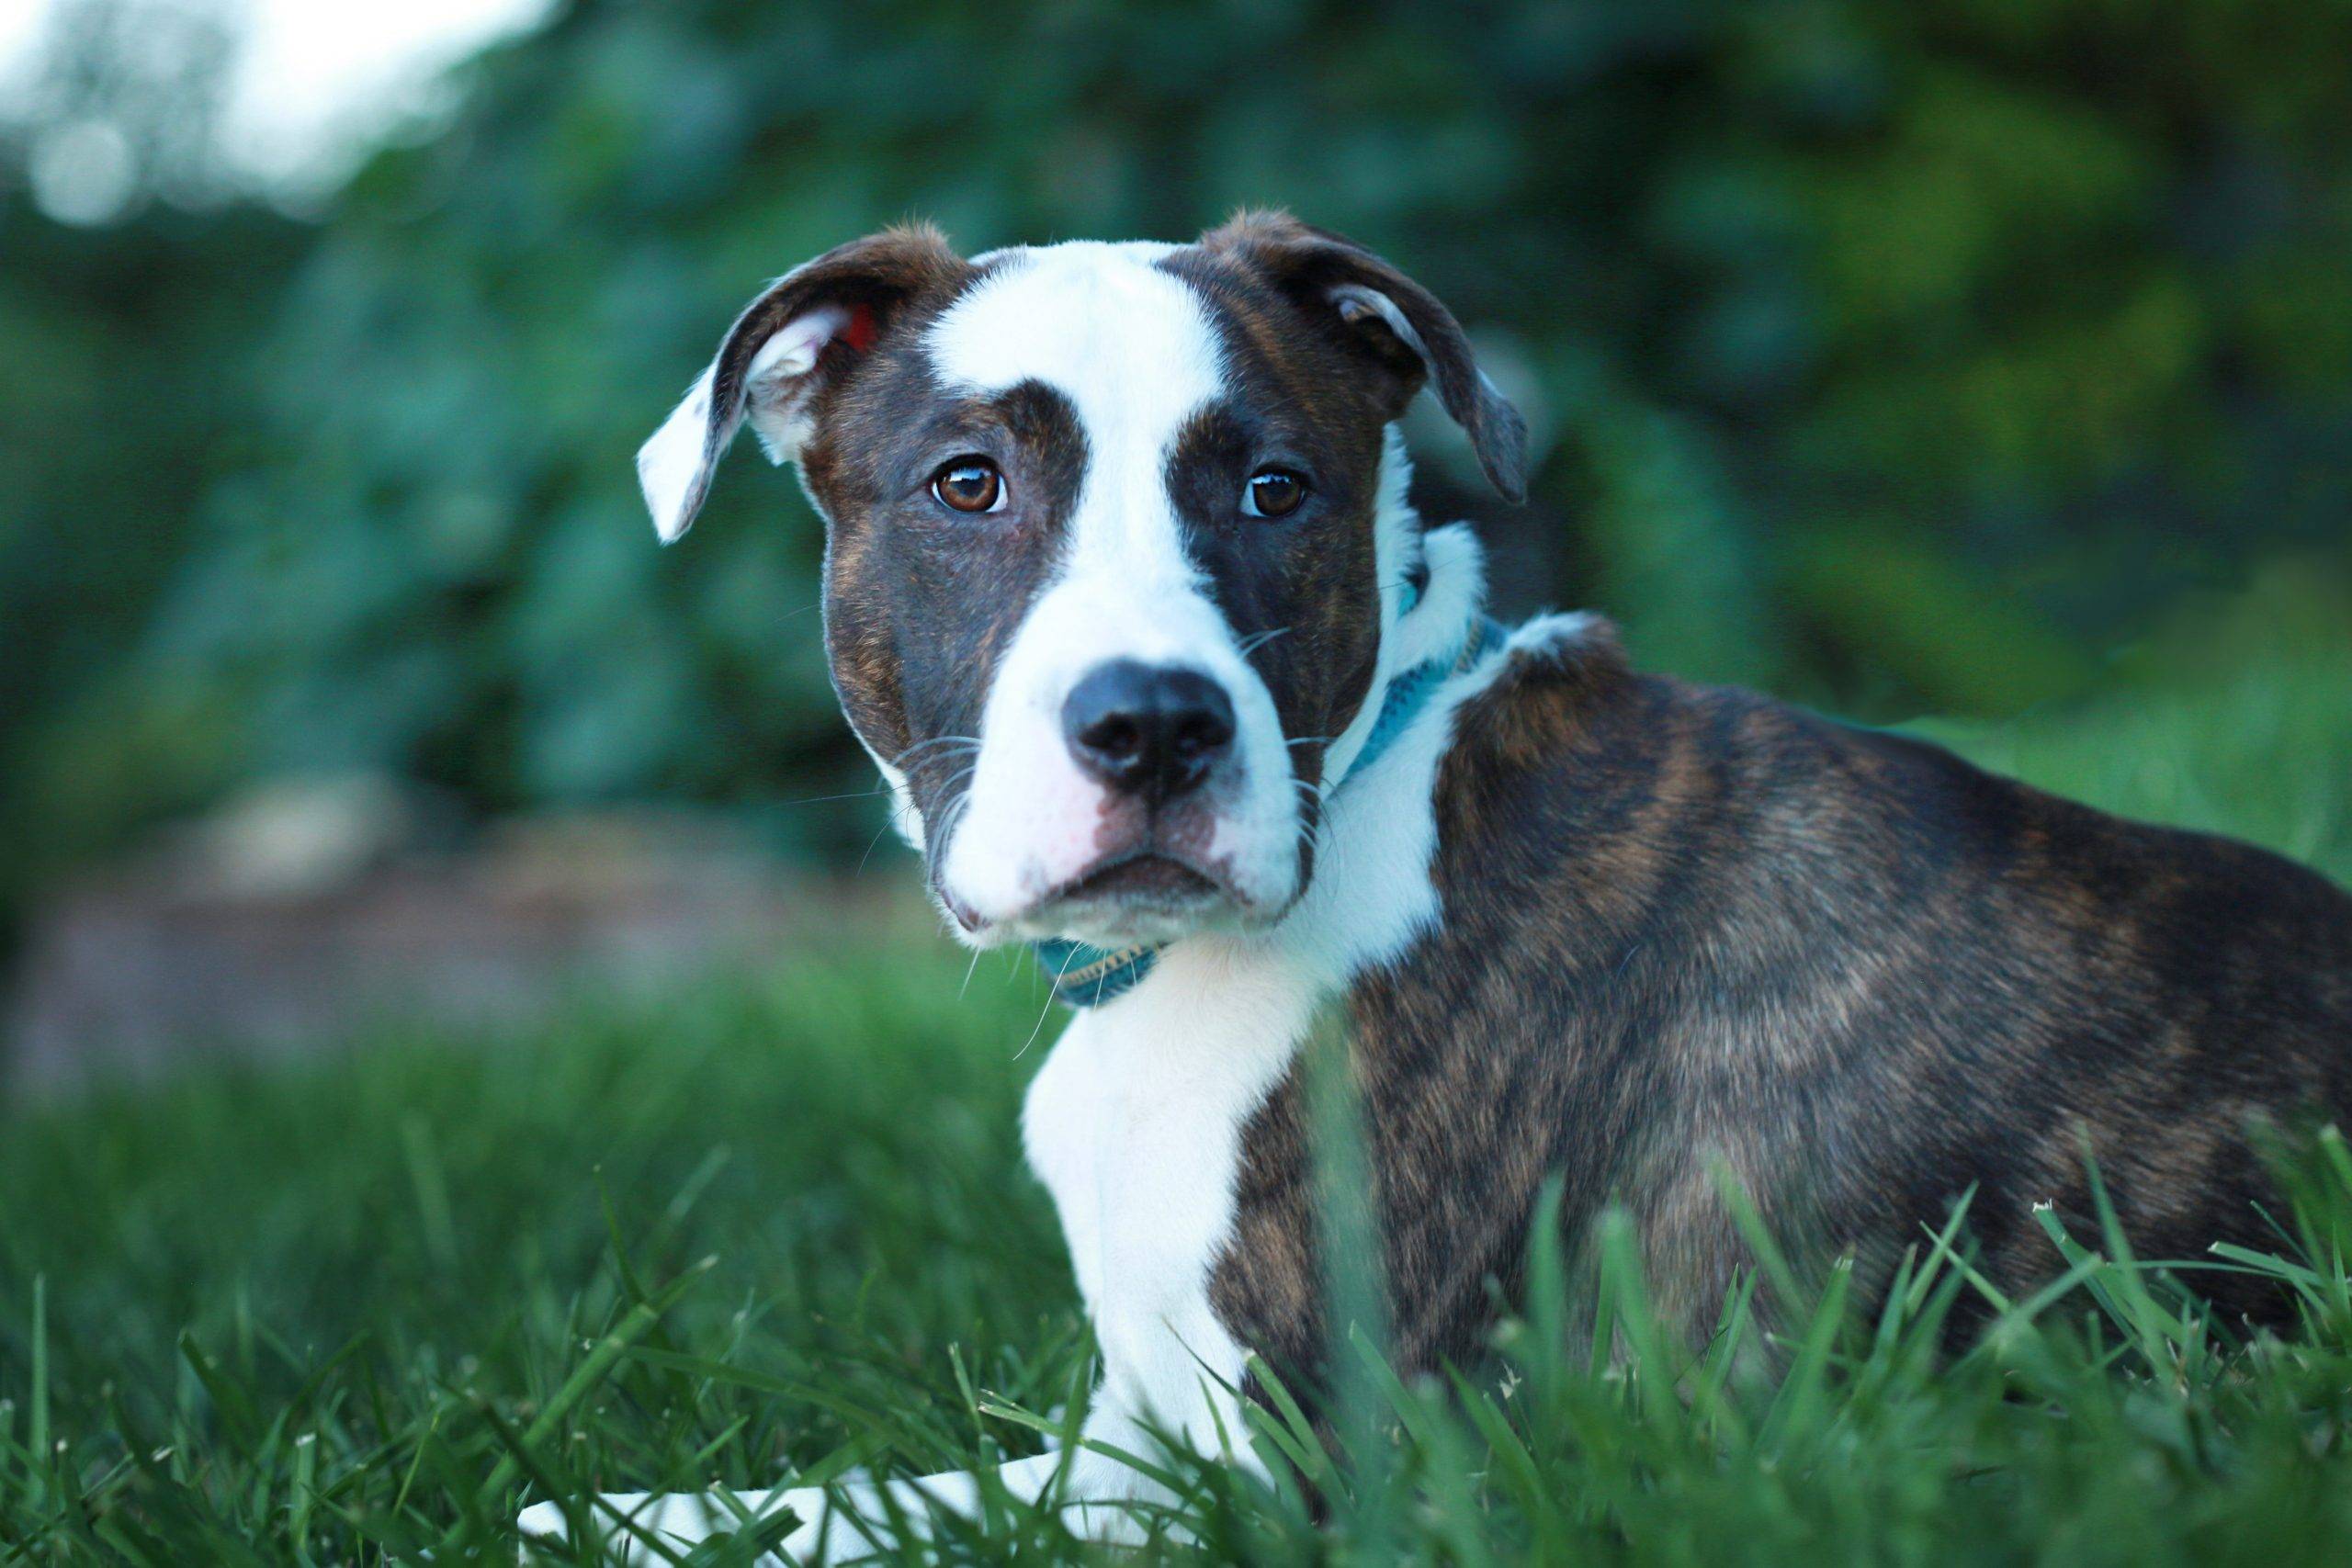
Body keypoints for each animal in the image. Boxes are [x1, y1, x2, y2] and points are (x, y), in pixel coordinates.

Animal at [524, 215, 2352, 1561]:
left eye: (1277, 490)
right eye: (964, 485)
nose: (1154, 725)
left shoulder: (1304, 1468)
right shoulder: (1132, 1440)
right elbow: (829, 1502)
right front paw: (581, 1513)